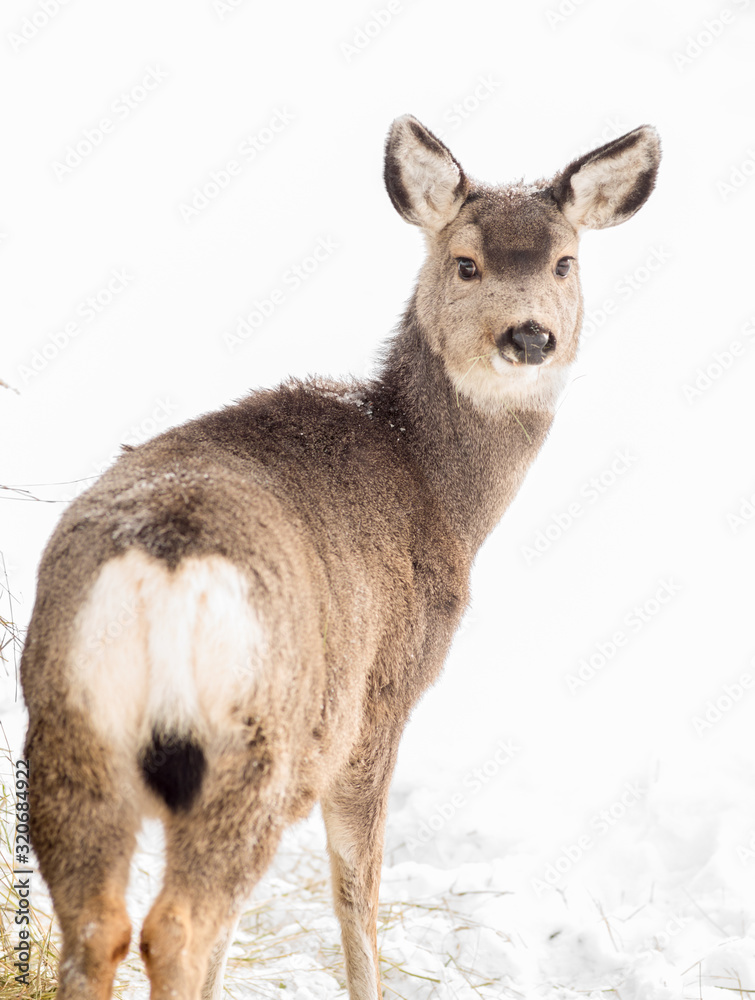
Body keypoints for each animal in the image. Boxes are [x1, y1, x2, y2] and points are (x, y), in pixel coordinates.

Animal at [19, 113, 660, 996]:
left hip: (70, 730)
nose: (529, 335)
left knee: (98, 925)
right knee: (179, 926)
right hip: (255, 742)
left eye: (565, 261)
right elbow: (357, 885)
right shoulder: (381, 698)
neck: (434, 488)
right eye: (465, 261)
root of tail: (159, 566)